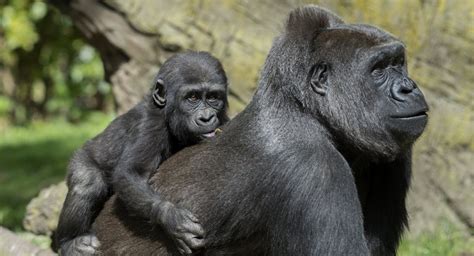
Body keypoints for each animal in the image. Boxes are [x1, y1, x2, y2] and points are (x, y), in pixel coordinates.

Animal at [54, 51, 229, 255]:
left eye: (213, 97)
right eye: (192, 97)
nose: (206, 118)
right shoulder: (150, 125)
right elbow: (130, 173)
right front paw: (171, 218)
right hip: (83, 156)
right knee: (88, 181)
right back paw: (70, 241)